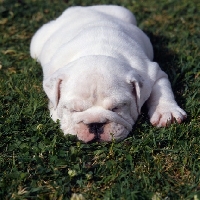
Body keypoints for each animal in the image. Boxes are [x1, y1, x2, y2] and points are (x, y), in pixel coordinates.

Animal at [30, 4, 187, 142]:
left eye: (116, 108)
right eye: (74, 110)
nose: (95, 124)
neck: (98, 51)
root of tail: (78, 9)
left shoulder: (153, 74)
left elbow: (161, 91)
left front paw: (167, 112)